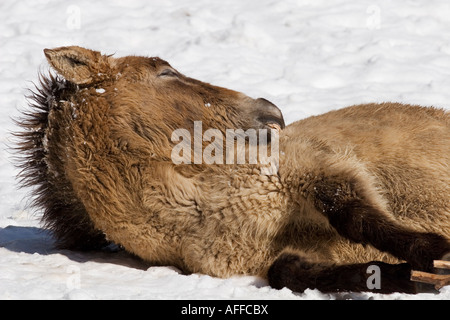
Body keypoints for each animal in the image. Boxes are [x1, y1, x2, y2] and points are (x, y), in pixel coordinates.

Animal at [14, 46, 450, 294]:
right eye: (165, 73)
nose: (272, 112)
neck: (201, 205)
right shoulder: (269, 254)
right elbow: (287, 271)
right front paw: (407, 277)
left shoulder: (316, 167)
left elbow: (353, 216)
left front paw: (431, 251)